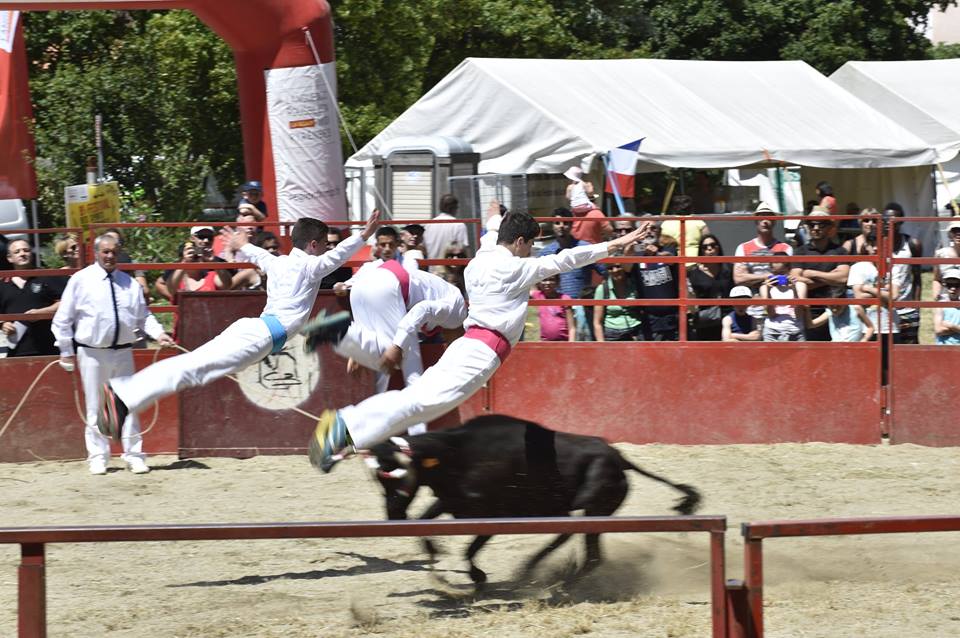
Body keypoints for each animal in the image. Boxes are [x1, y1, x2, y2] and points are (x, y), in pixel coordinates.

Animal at [364, 414, 701, 586]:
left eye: (398, 475)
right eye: (379, 479)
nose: (393, 514)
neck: (455, 454)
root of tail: (618, 456)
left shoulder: (491, 515)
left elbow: (470, 548)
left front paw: (476, 575)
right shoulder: (450, 502)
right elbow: (426, 527)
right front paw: (438, 559)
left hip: (588, 506)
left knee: (575, 539)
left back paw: (541, 575)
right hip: (587, 511)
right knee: (586, 549)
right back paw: (553, 577)